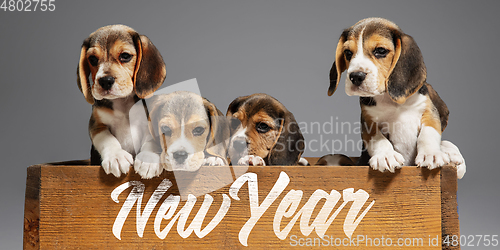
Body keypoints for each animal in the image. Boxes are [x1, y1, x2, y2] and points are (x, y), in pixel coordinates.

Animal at [76, 24, 166, 178]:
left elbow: (150, 141)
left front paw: (148, 158)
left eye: (125, 56)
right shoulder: (96, 125)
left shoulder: (150, 122)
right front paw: (116, 157)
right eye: (92, 59)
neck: (123, 103)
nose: (105, 81)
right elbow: (107, 139)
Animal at [328, 17, 464, 178]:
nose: (355, 76)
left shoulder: (429, 111)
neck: (392, 102)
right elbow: (377, 138)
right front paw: (386, 156)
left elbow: (429, 132)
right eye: (348, 53)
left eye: (380, 51)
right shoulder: (368, 122)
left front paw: (431, 154)